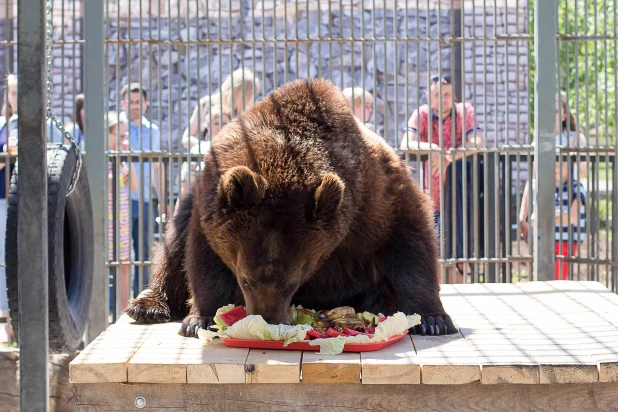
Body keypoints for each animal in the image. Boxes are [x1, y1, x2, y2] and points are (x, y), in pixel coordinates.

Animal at [127, 79, 458, 336]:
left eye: (292, 283)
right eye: (244, 279)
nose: (267, 318)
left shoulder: (375, 198)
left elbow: (410, 239)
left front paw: (433, 320)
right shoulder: (210, 203)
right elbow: (201, 256)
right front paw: (200, 319)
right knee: (173, 244)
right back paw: (147, 306)